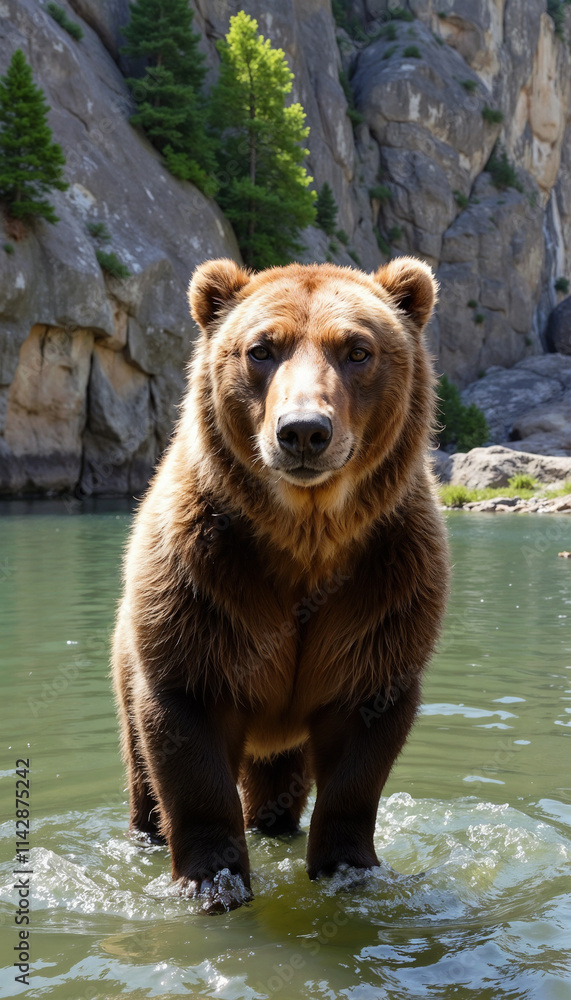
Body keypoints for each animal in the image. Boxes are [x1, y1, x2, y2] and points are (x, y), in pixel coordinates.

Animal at [112, 256, 449, 913]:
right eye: (261, 349)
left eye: (358, 350)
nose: (303, 431)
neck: (305, 539)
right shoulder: (203, 590)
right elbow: (185, 727)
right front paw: (214, 879)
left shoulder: (383, 593)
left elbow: (363, 746)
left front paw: (347, 867)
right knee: (141, 771)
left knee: (277, 786)